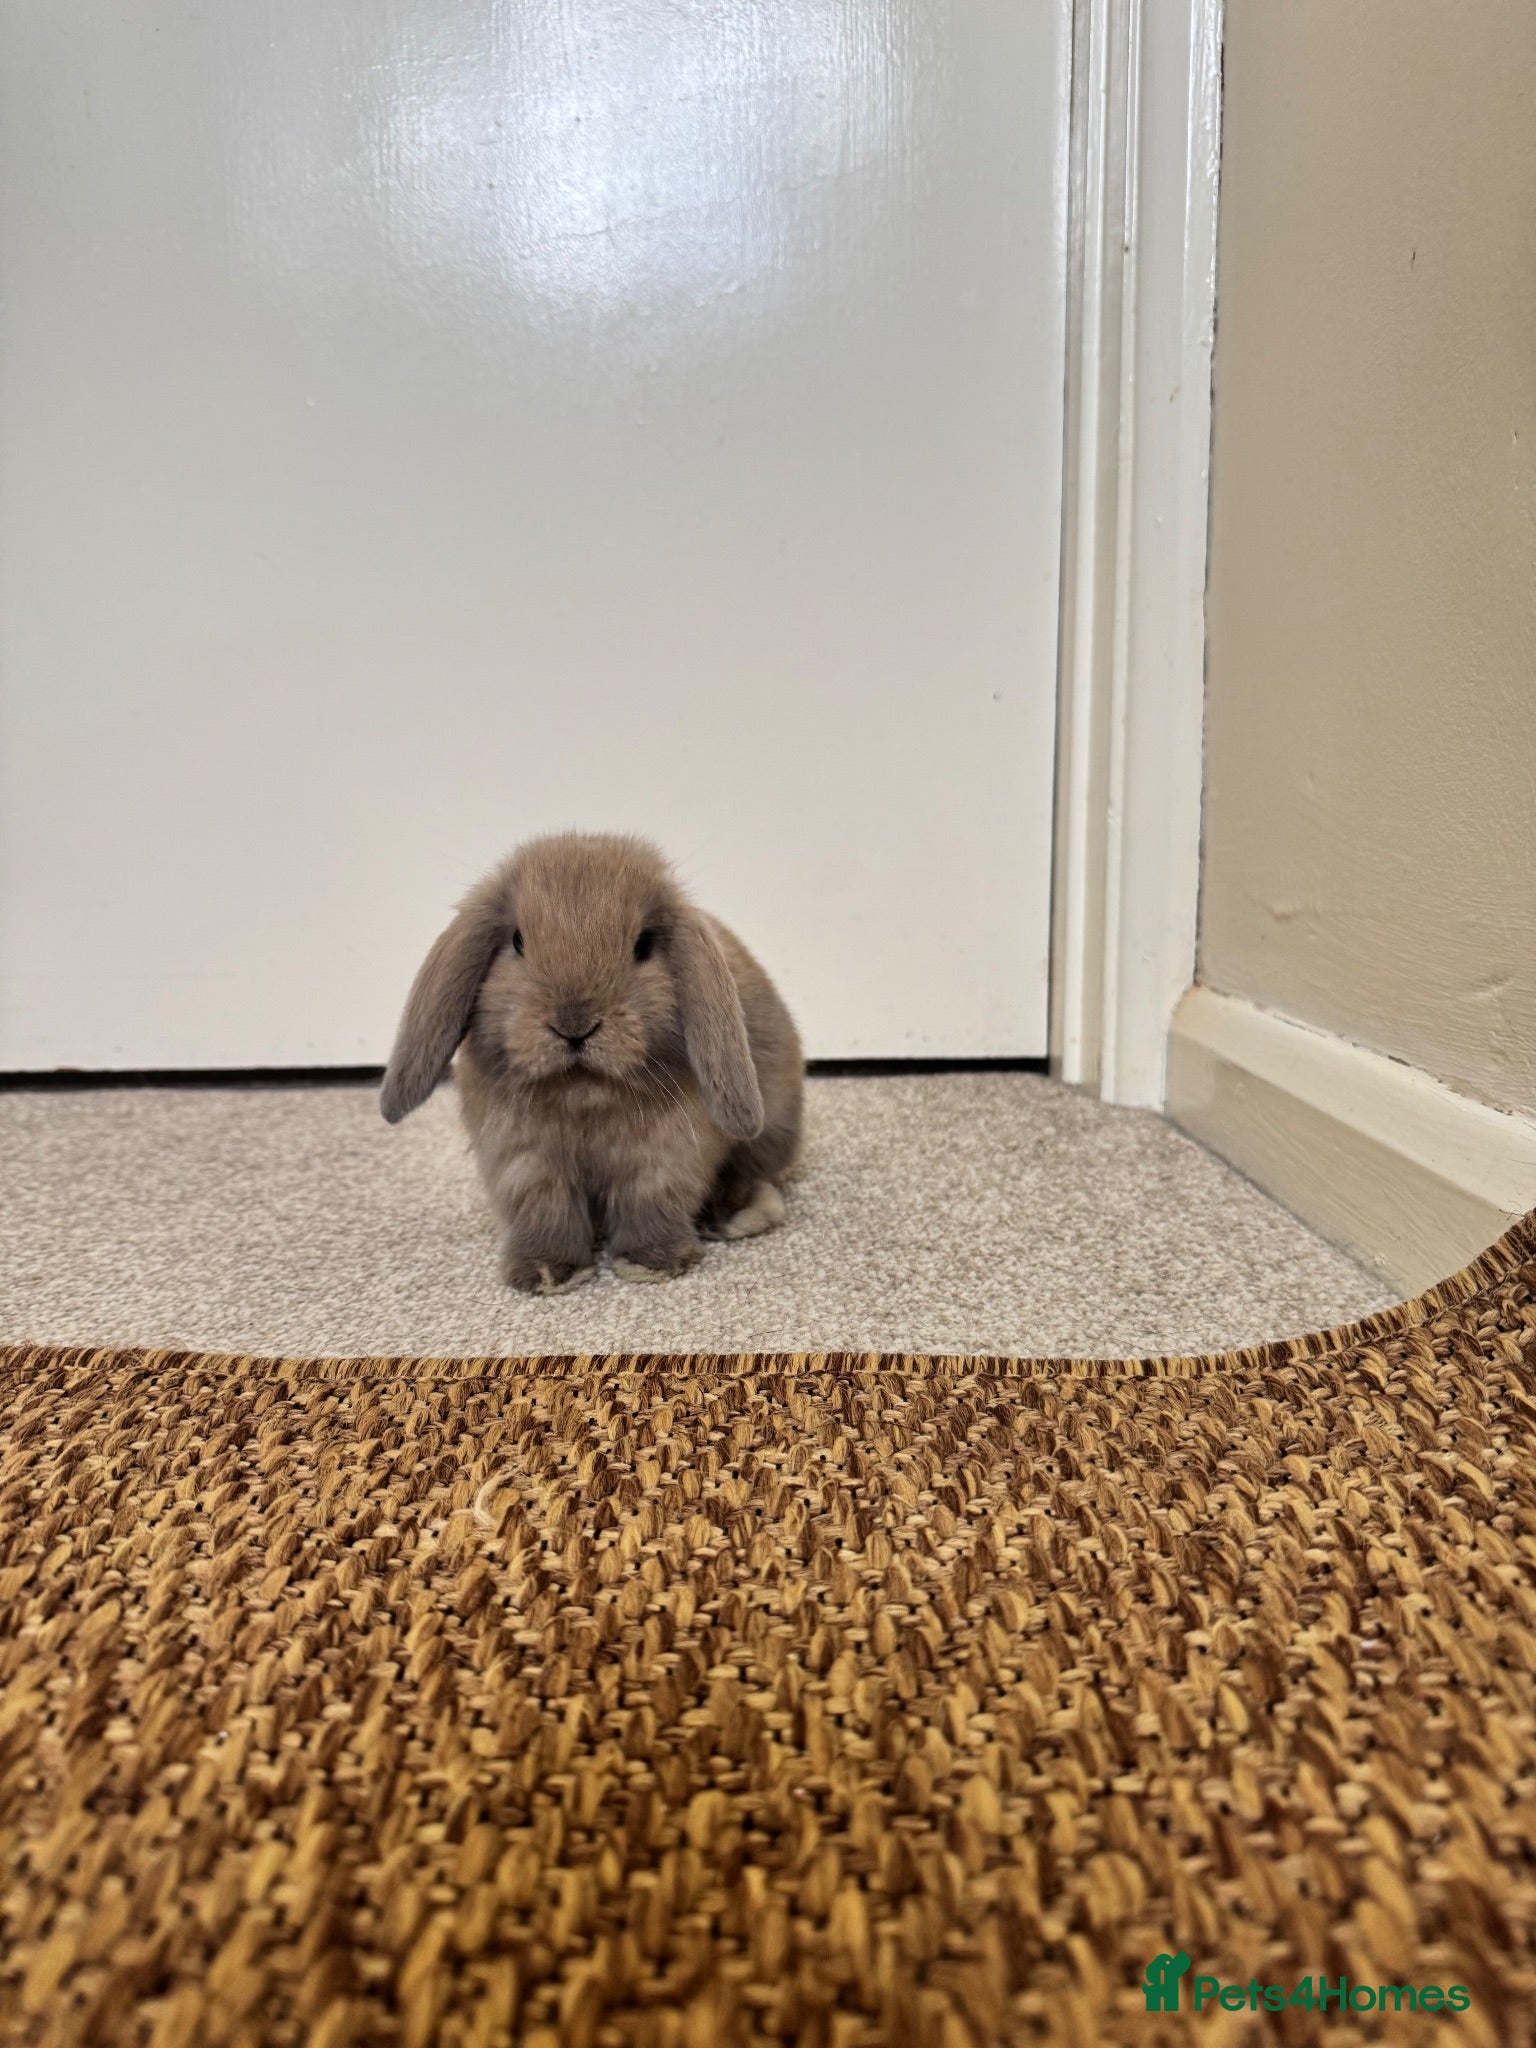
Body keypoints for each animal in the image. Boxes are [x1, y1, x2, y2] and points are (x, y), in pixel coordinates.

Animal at [380, 833, 803, 1293]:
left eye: (643, 946)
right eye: (517, 942)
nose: (574, 1025)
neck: (582, 1089)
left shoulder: (664, 1158)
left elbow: (652, 1201)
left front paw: (652, 1262)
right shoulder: (525, 1162)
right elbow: (545, 1211)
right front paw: (546, 1272)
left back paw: (737, 1213)